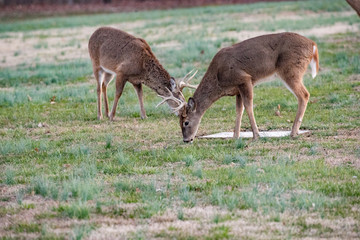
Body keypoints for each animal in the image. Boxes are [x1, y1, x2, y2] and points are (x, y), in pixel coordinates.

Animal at [159, 31, 320, 142]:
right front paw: (235, 136)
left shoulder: (244, 79)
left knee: (304, 95)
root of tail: (313, 45)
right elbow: (238, 111)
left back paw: (293, 132)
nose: (186, 140)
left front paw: (256, 135)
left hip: (290, 69)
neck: (219, 80)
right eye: (178, 122)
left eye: (186, 122)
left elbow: (248, 106)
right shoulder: (236, 90)